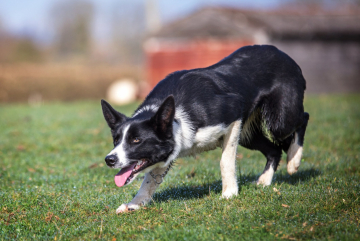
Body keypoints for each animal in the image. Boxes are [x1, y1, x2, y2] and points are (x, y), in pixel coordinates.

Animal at [100, 44, 310, 213]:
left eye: (136, 140)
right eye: (116, 140)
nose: (109, 160)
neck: (177, 119)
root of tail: (283, 54)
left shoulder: (233, 116)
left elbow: (225, 161)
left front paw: (229, 193)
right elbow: (149, 181)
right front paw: (134, 205)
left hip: (279, 121)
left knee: (303, 119)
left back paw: (294, 161)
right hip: (248, 135)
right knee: (275, 150)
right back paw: (265, 180)